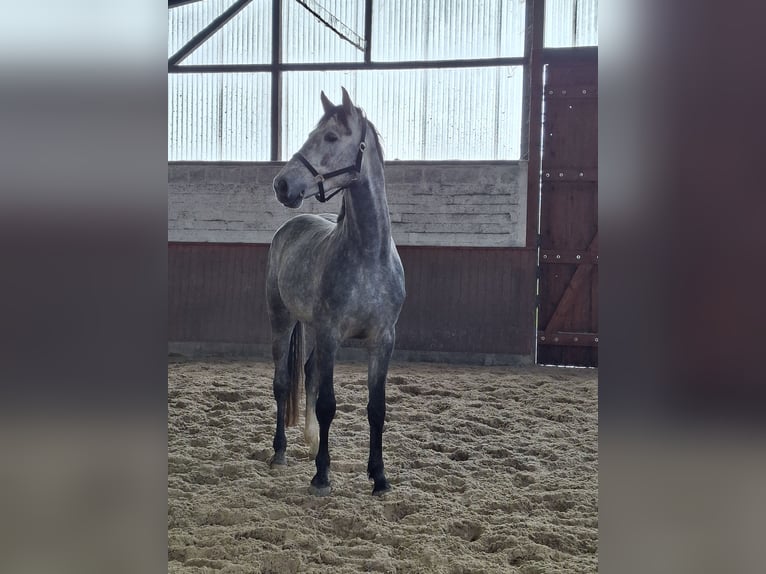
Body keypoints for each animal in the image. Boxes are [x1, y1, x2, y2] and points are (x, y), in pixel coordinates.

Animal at [267, 88, 406, 496]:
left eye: (330, 137)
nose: (282, 185)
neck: (368, 255)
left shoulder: (383, 340)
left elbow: (376, 408)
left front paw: (379, 477)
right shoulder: (331, 334)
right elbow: (328, 404)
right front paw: (322, 476)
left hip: (313, 329)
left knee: (310, 373)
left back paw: (313, 442)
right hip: (281, 319)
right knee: (283, 382)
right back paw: (280, 452)